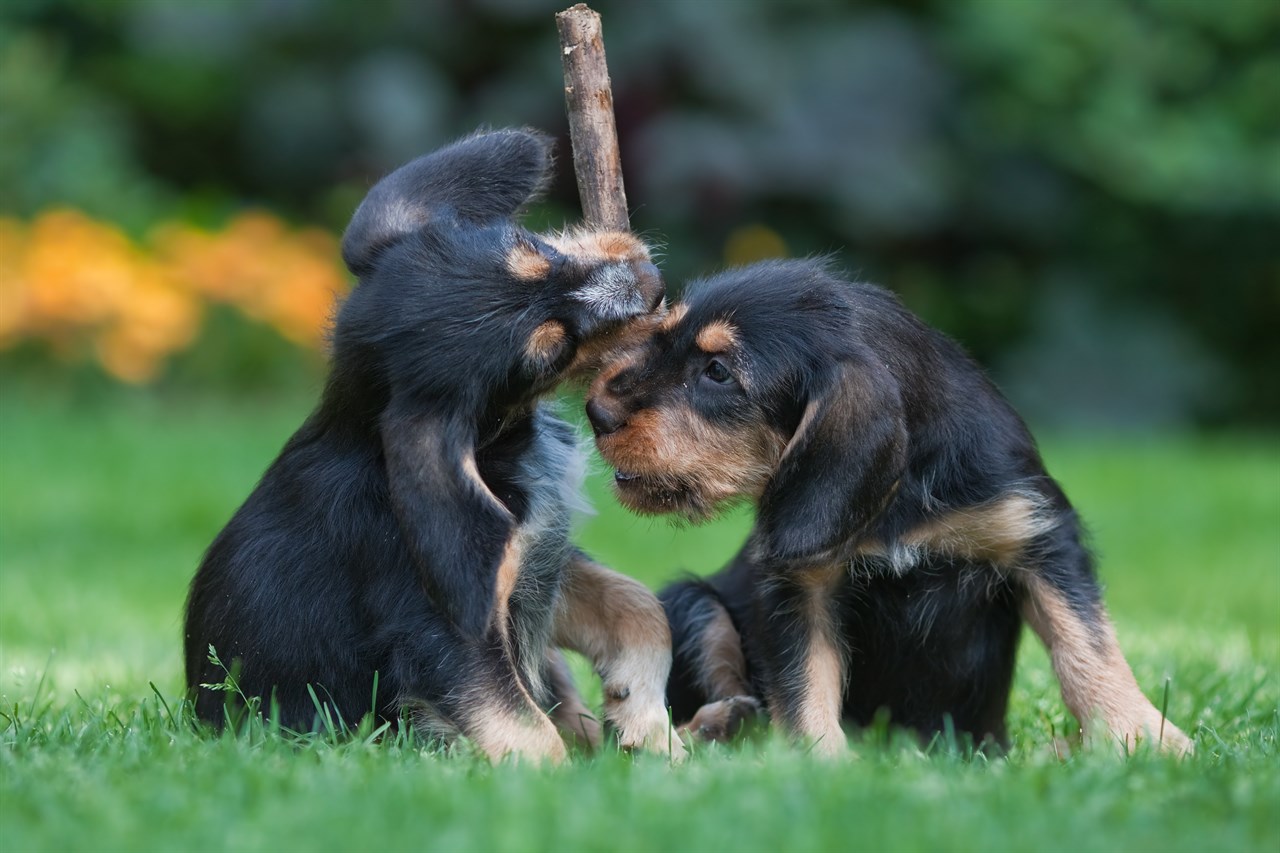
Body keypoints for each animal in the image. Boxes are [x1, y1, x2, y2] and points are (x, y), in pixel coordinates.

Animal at [185, 128, 686, 763]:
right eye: (550, 352)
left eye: (531, 246)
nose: (653, 282)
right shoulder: (443, 630)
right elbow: (523, 730)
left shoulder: (537, 564)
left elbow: (640, 606)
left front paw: (643, 718)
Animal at [586, 256, 1192, 753]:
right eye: (660, 338)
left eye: (717, 372)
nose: (595, 412)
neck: (902, 495)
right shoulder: (799, 582)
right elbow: (804, 678)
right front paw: (820, 761)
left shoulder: (1040, 536)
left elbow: (1087, 644)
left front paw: (1142, 736)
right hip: (692, 602)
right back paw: (720, 726)